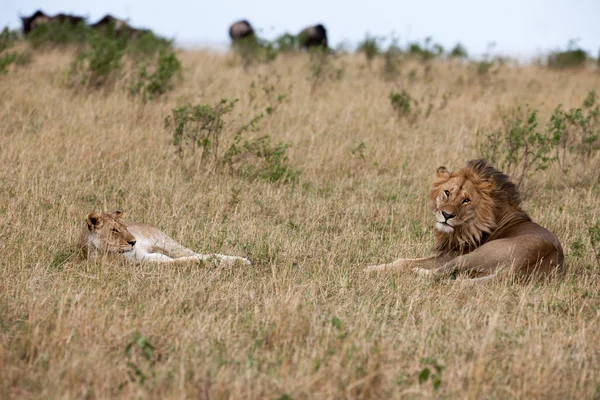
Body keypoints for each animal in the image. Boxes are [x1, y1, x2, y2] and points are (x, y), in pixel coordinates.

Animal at [78, 212, 250, 266]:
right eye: (114, 230)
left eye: (125, 227)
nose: (134, 242)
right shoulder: (151, 263)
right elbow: (184, 262)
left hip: (168, 244)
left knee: (198, 253)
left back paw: (241, 260)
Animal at [364, 159, 564, 282]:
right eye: (447, 192)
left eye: (466, 200)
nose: (446, 215)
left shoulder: (447, 256)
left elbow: (405, 262)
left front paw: (370, 269)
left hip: (474, 255)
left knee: (441, 273)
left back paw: (420, 273)